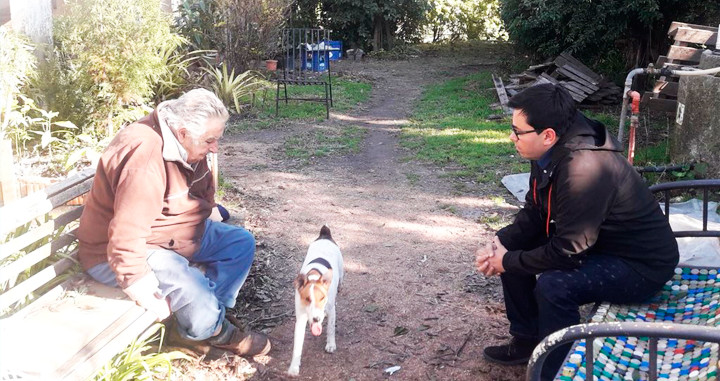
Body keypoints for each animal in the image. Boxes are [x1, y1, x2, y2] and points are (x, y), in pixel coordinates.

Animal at [286, 224, 344, 376]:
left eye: (322, 298)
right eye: (307, 299)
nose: (317, 319)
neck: (313, 275)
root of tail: (324, 234)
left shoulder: (331, 310)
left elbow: (330, 329)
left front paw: (330, 344)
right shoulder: (301, 318)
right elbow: (297, 346)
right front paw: (294, 367)